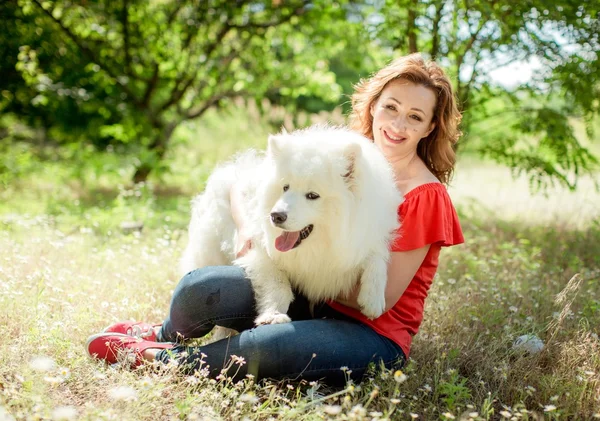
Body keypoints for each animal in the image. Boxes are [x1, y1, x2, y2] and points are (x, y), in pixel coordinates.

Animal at [179, 124, 404, 324]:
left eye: (312, 195)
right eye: (285, 187)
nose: (276, 216)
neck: (320, 244)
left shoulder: (365, 236)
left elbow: (376, 257)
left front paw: (373, 300)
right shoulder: (260, 252)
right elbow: (279, 286)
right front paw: (273, 316)